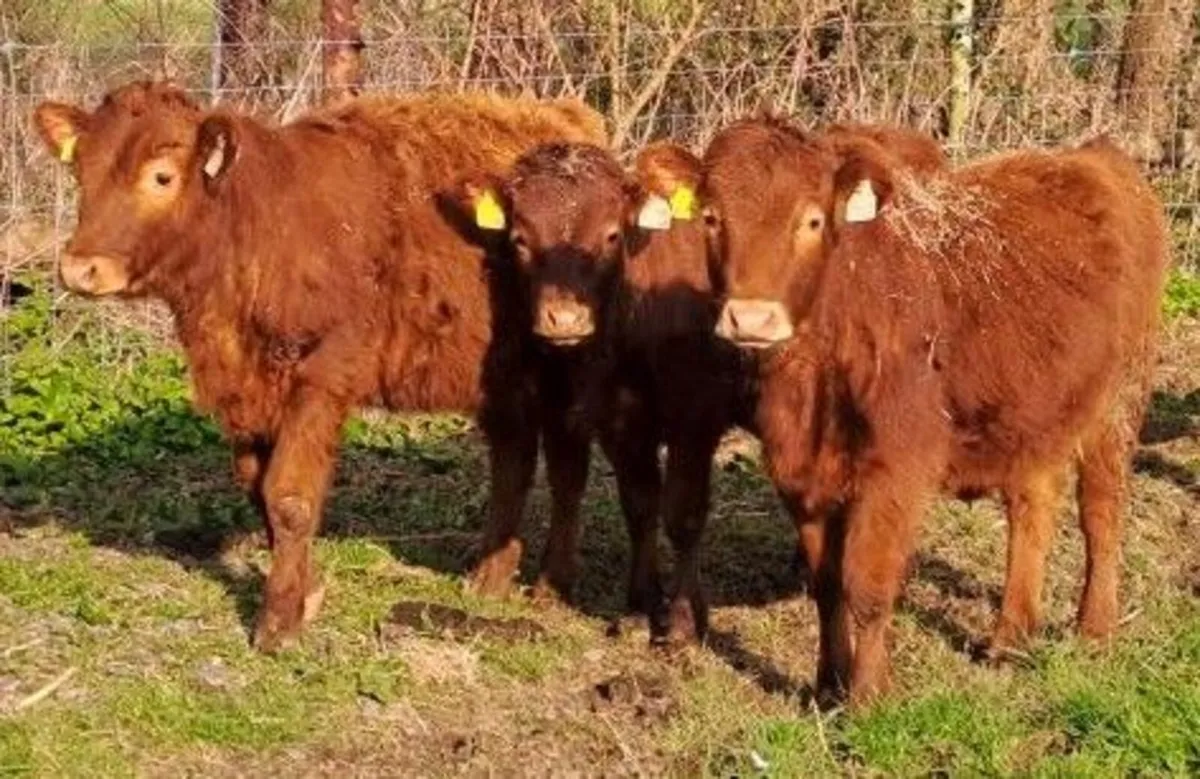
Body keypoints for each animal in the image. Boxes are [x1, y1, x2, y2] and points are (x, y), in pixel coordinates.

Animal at [33, 81, 606, 652]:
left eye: (161, 176)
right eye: (81, 171)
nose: (80, 268)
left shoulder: (323, 378)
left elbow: (289, 494)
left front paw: (278, 622)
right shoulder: (250, 387)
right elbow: (258, 487)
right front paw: (305, 593)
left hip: (564, 369)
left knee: (566, 471)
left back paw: (551, 584)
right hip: (499, 376)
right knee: (514, 458)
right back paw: (489, 579)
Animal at [702, 116, 1168, 705]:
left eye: (810, 220)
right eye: (712, 218)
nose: (751, 319)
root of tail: (1098, 158)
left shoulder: (895, 472)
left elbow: (867, 586)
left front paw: (869, 697)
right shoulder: (798, 471)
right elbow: (826, 584)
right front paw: (828, 684)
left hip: (1118, 403)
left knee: (1101, 514)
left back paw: (1094, 629)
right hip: (1033, 418)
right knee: (1032, 509)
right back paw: (1010, 638)